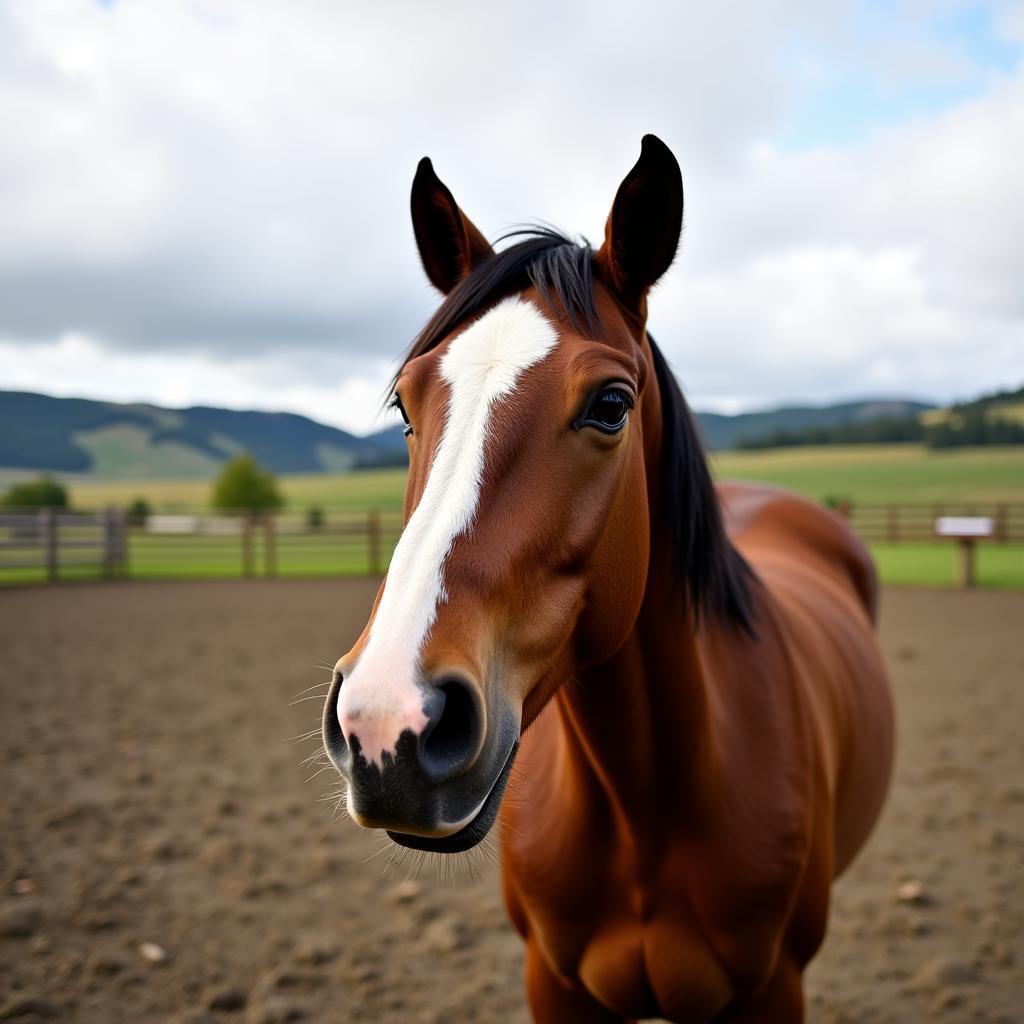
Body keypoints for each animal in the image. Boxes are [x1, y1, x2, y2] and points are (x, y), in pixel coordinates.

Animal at [323, 138, 892, 1024]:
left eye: (612, 404)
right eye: (407, 408)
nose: (386, 725)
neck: (644, 811)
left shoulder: (774, 989)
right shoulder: (553, 983)